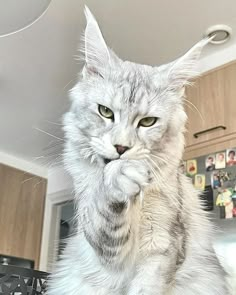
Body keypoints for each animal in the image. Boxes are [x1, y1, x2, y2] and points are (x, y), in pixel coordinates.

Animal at [46, 6, 230, 295]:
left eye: (147, 122)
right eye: (105, 111)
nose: (122, 148)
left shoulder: (164, 244)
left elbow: (147, 287)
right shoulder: (104, 245)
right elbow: (105, 217)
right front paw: (117, 179)